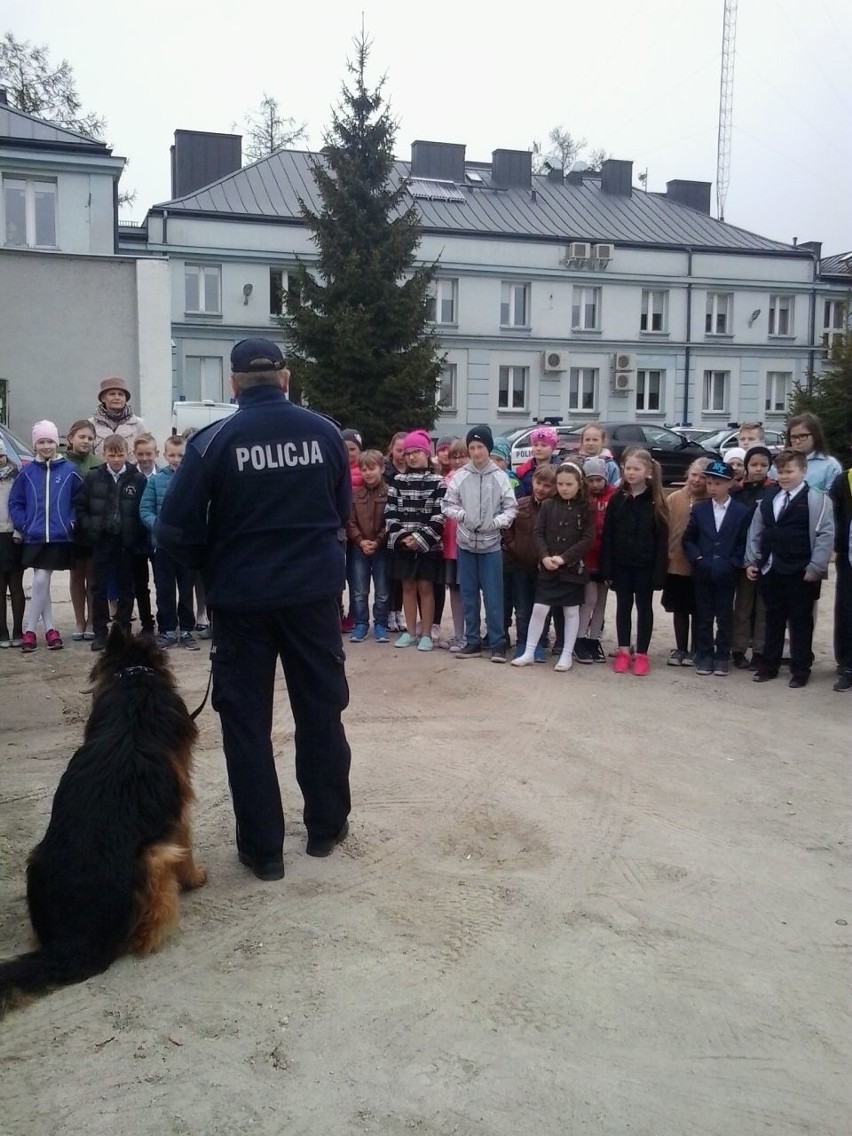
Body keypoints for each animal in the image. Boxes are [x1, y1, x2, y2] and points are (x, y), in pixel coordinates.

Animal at [0, 627, 206, 1017]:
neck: (134, 675)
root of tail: (71, 943)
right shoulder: (180, 808)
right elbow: (186, 844)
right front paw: (195, 878)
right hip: (154, 857)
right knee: (143, 936)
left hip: (35, 859)